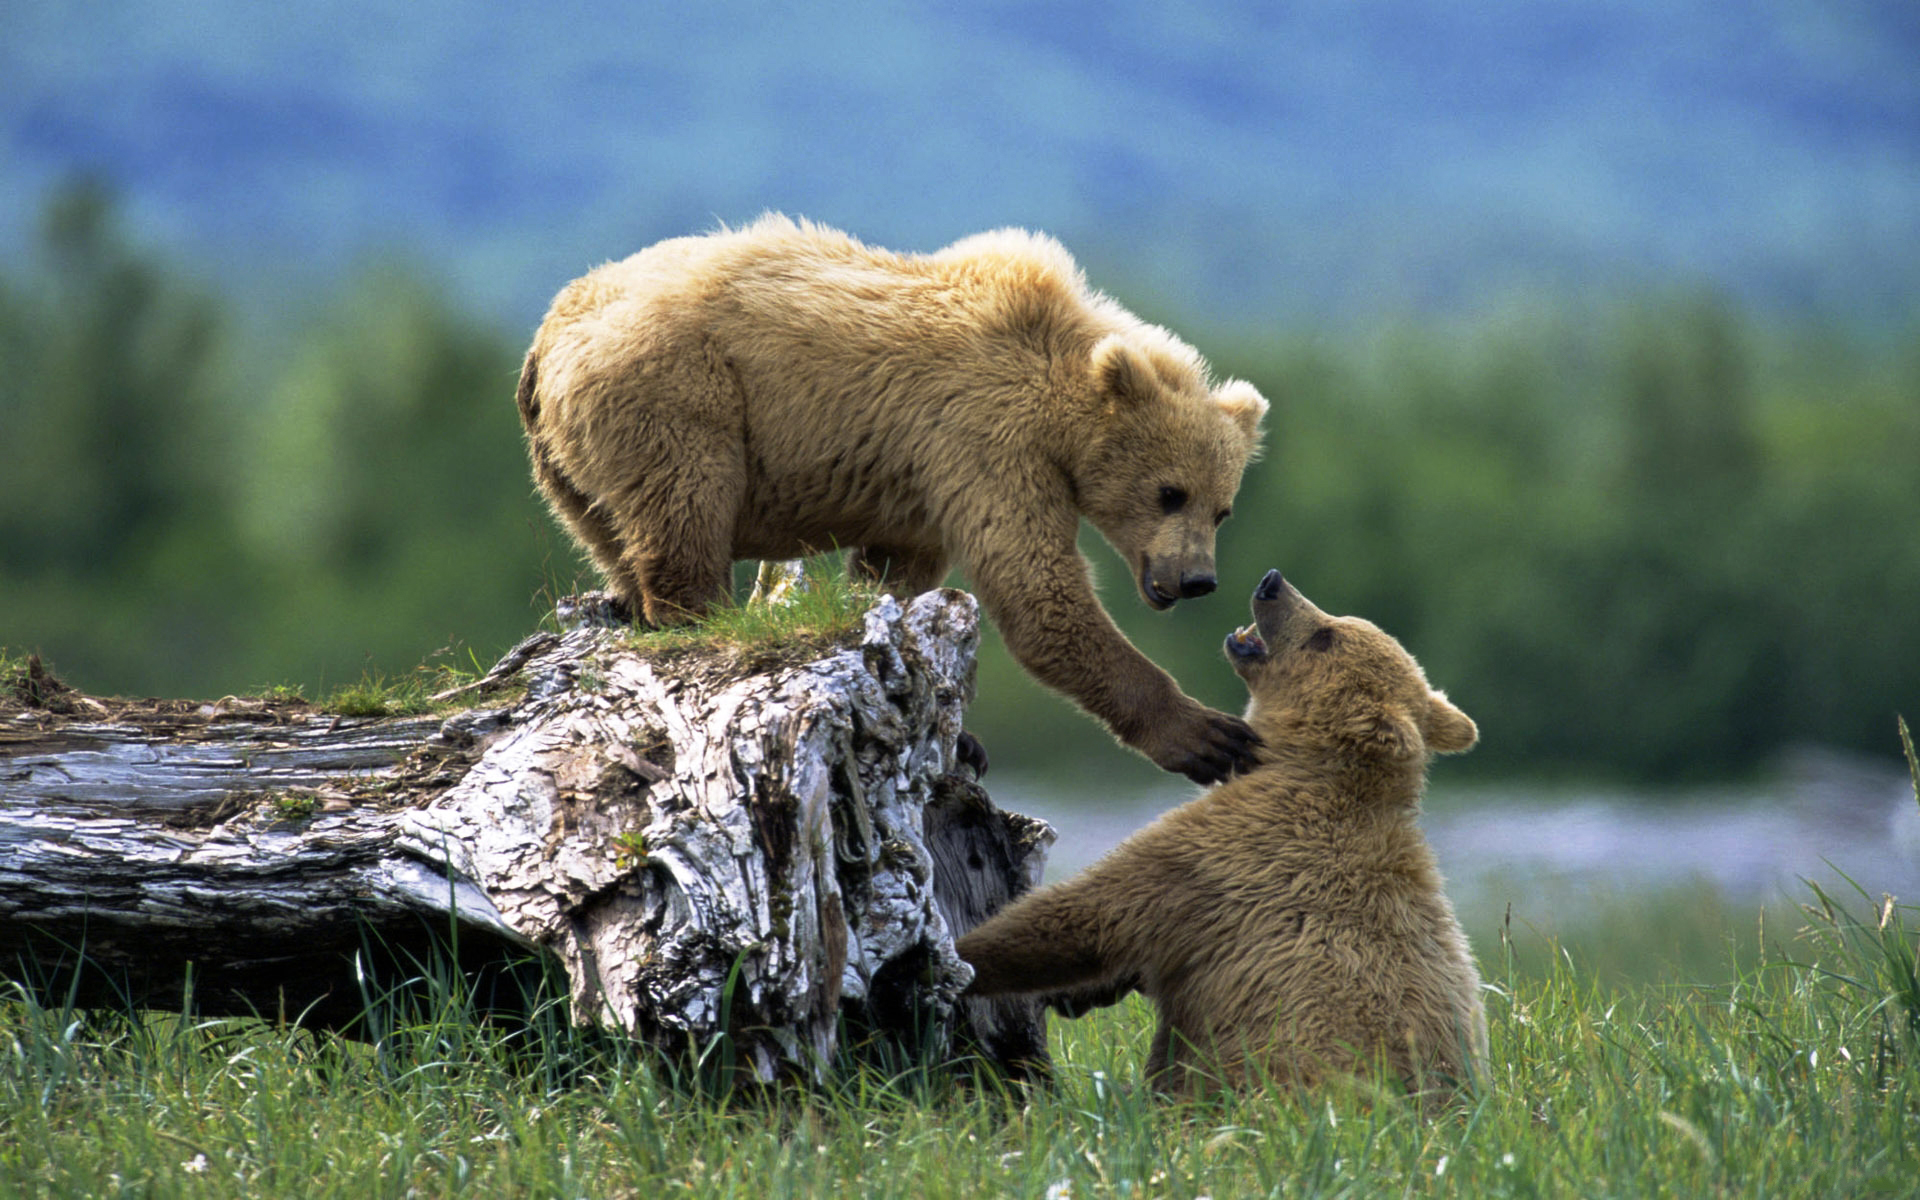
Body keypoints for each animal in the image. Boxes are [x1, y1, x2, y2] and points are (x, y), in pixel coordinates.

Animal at [522, 215, 1274, 783]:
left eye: (1222, 508)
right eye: (1170, 492)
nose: (1198, 579)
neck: (1061, 391)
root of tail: (546, 335)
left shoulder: (924, 482)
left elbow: (897, 573)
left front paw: (959, 733)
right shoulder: (986, 440)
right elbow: (1037, 591)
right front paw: (1209, 735)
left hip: (568, 466)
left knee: (613, 534)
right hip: (674, 390)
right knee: (686, 504)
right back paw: (701, 615)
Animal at [960, 568, 1482, 1098]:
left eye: (1325, 635)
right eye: (1336, 622)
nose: (1273, 583)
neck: (1305, 765)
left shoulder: (1226, 856)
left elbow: (1088, 916)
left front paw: (961, 957)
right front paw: (1080, 993)